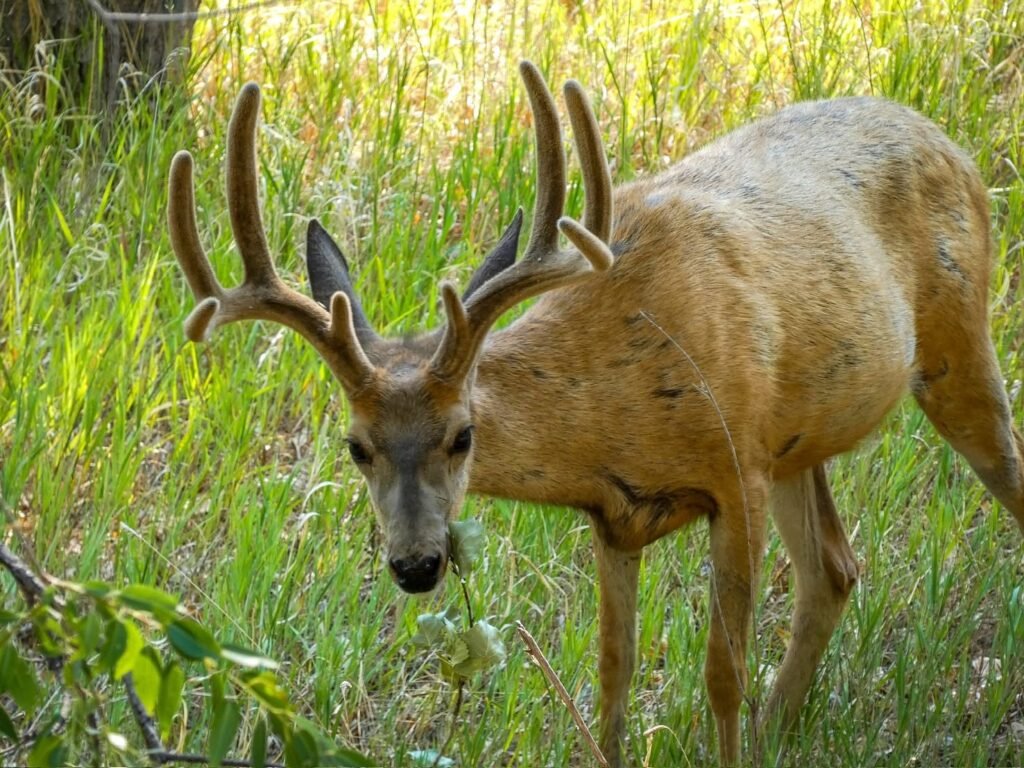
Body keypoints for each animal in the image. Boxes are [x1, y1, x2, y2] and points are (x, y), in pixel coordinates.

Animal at [167, 61, 1024, 766]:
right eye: (356, 446)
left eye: (462, 435)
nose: (416, 565)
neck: (618, 407)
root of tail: (950, 144)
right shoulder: (616, 517)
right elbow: (613, 677)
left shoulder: (735, 467)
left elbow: (721, 676)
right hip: (799, 440)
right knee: (835, 570)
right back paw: (780, 734)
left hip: (956, 347)